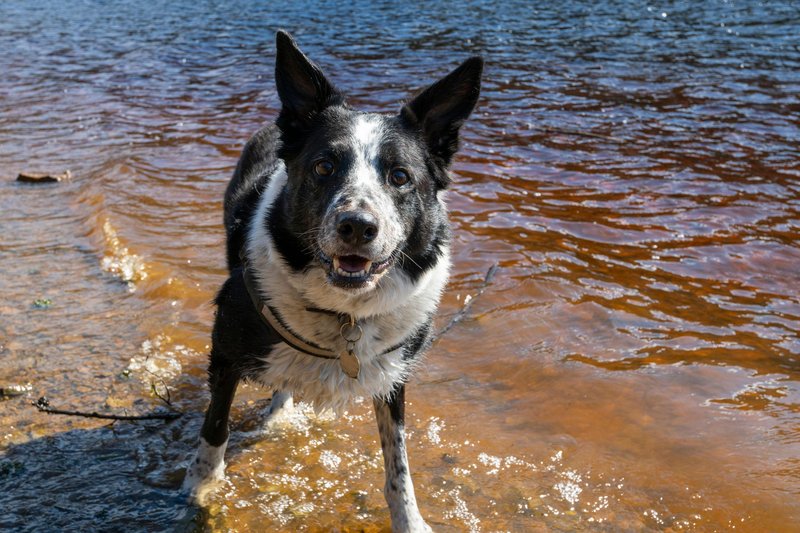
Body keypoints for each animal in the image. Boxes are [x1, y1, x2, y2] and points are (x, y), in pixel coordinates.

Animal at [181, 31, 482, 528]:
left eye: (401, 177)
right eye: (324, 166)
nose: (358, 226)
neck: (345, 314)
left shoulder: (394, 374)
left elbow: (398, 463)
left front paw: (409, 520)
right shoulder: (224, 351)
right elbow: (215, 427)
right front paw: (200, 487)